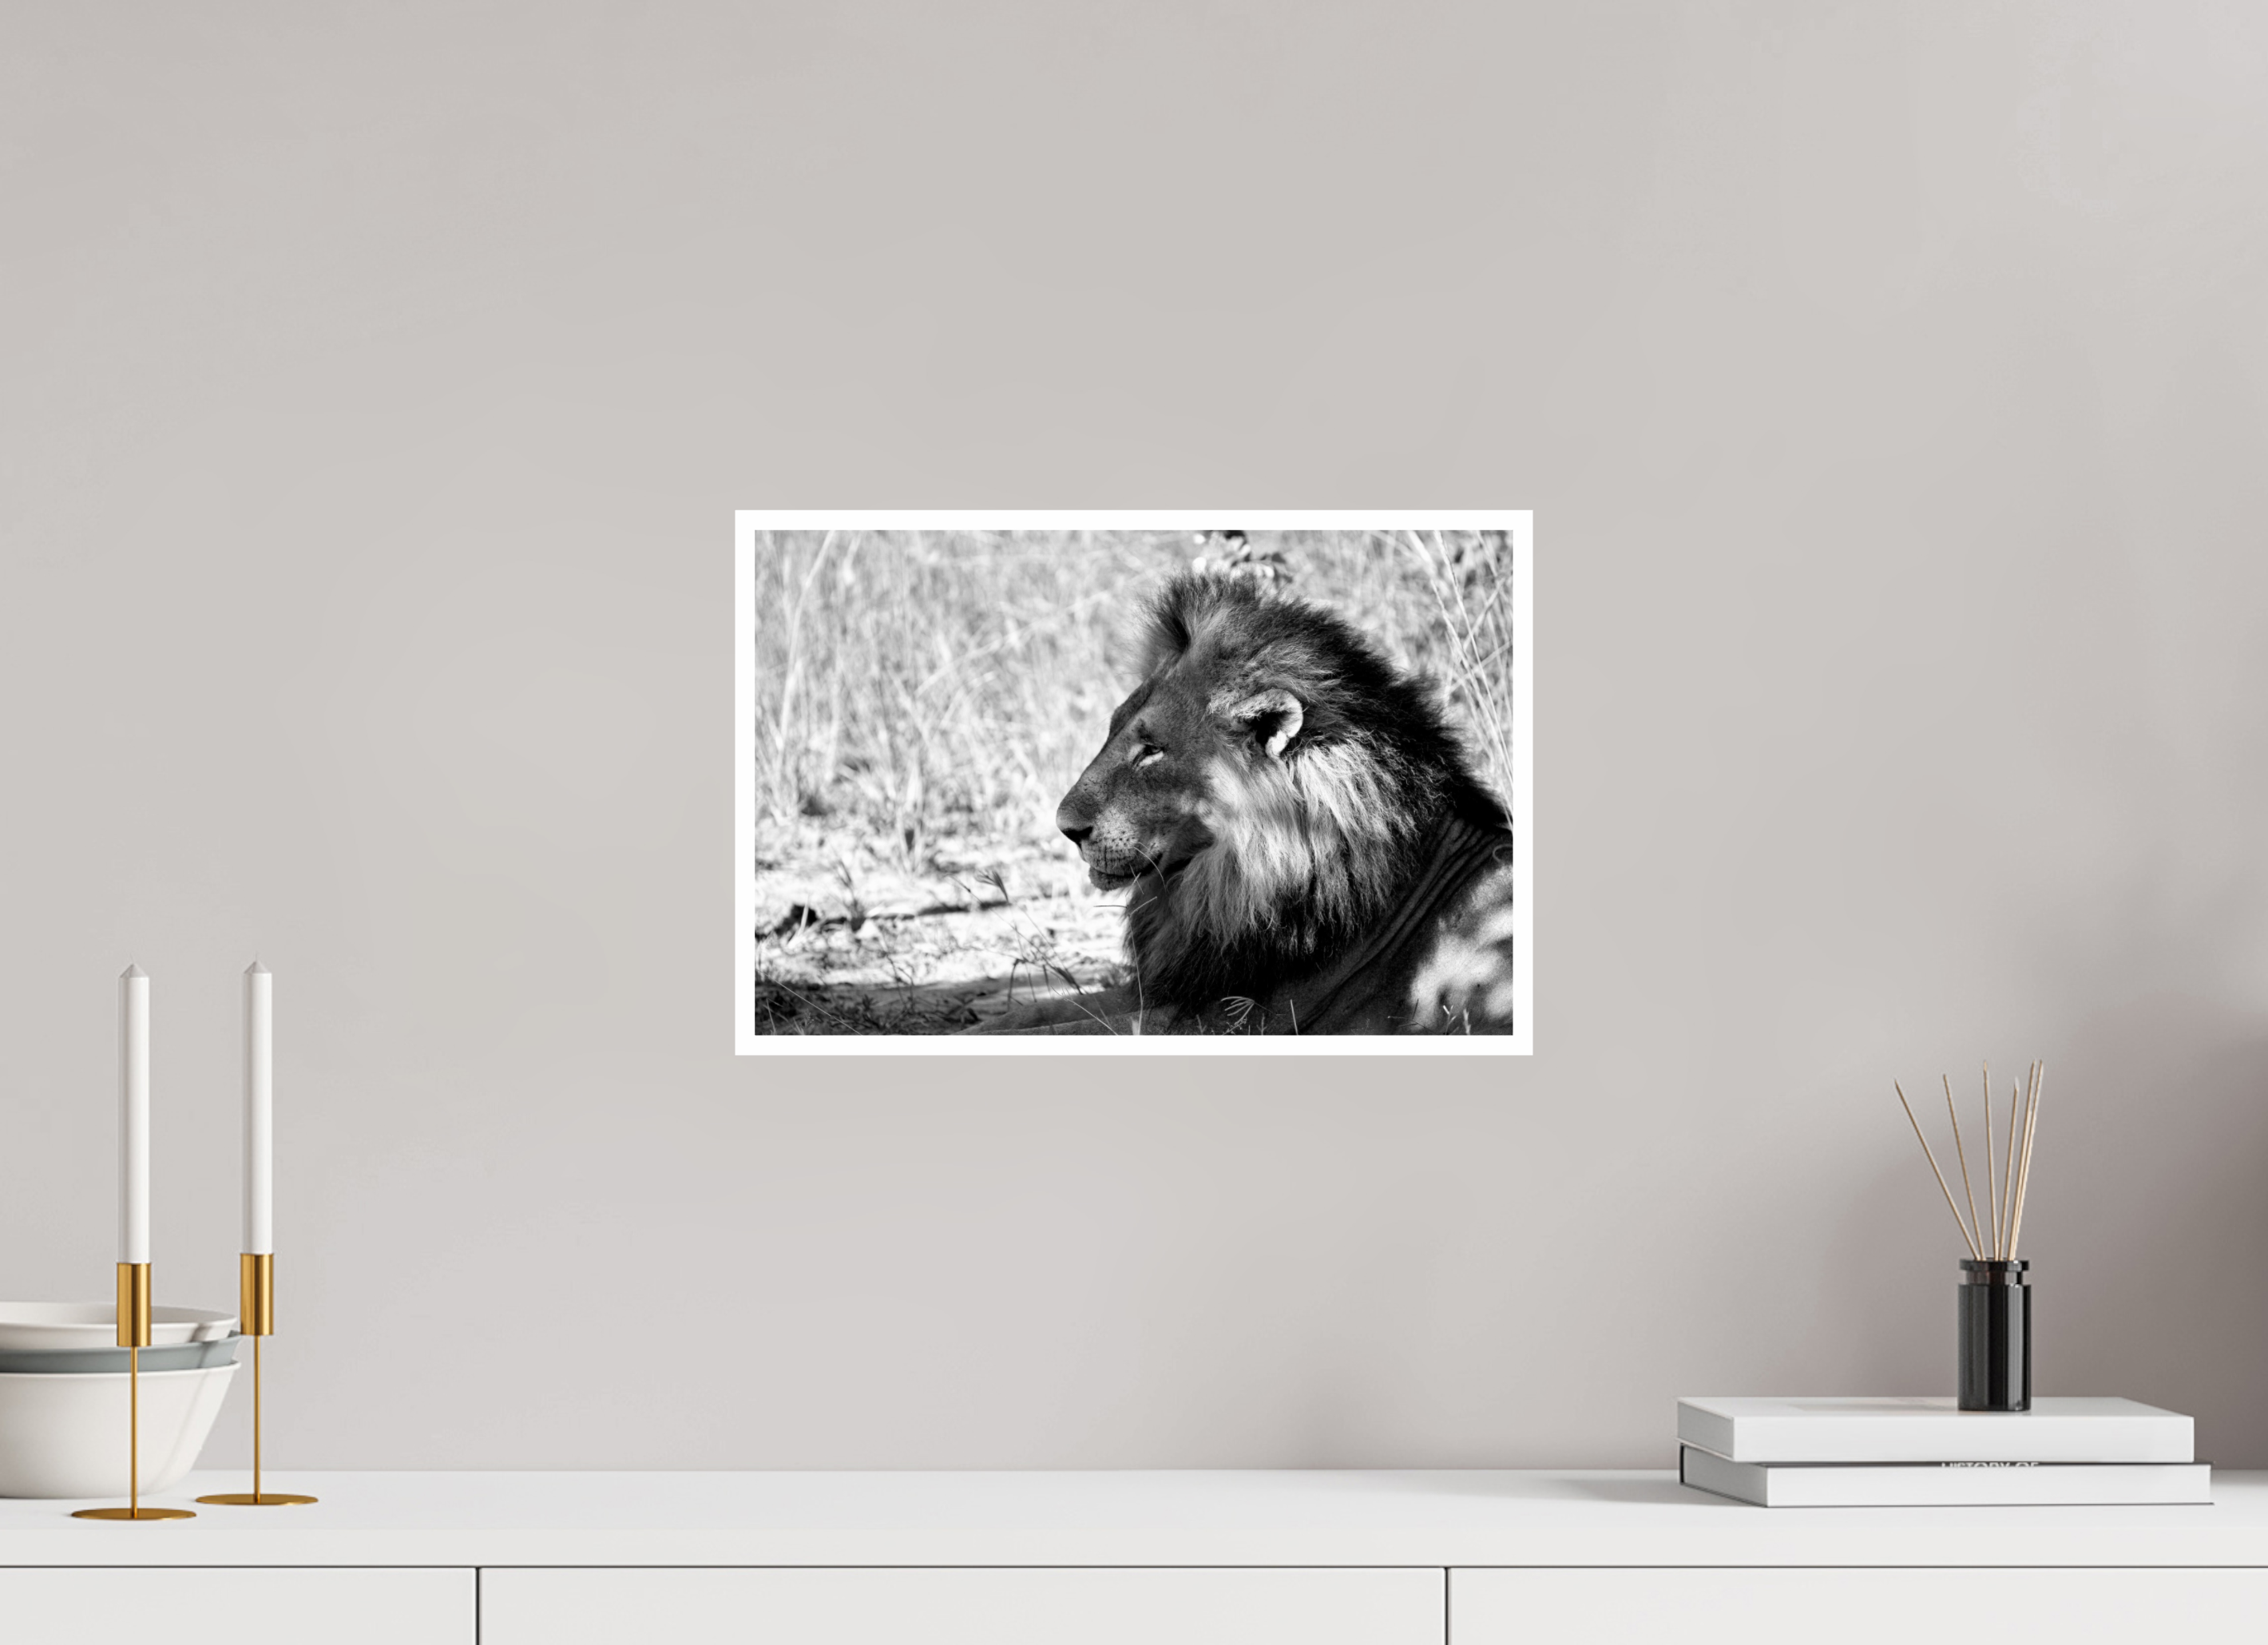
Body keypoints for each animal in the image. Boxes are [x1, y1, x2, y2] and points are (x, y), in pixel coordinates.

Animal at [976, 571, 1517, 1035]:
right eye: (1113, 730)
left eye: (1151, 750)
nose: (1067, 828)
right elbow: (1039, 1012)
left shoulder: (1232, 1017)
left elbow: (1067, 1027)